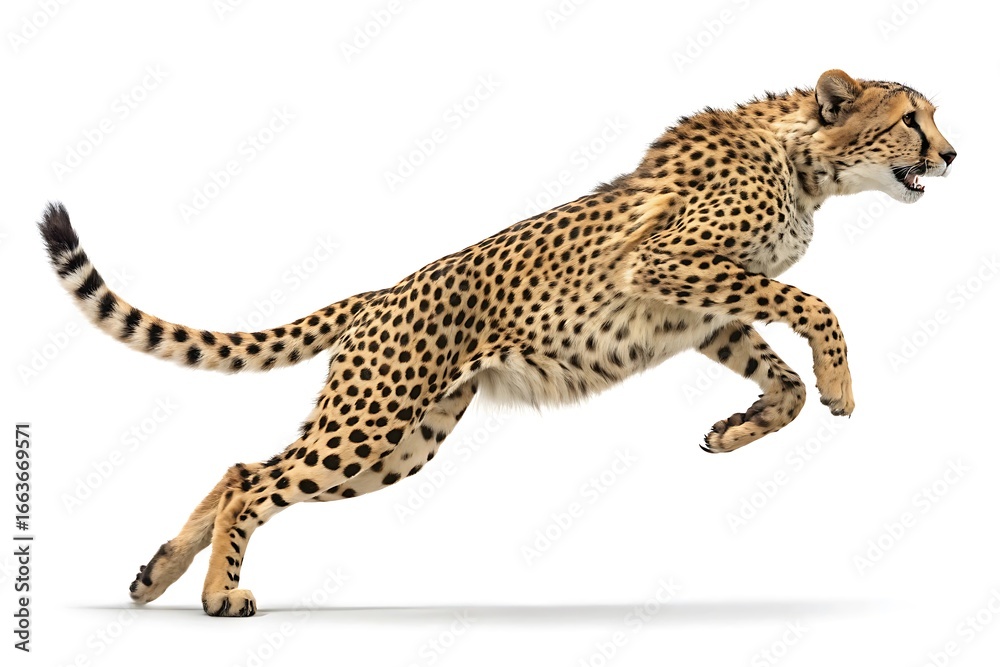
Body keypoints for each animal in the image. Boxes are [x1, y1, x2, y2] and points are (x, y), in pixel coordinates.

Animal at [39, 69, 955, 616]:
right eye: (911, 120)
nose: (952, 153)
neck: (806, 161)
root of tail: (383, 291)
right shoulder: (665, 264)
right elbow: (815, 304)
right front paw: (838, 383)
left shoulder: (699, 307)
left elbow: (778, 377)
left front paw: (738, 429)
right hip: (373, 422)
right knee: (255, 479)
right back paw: (218, 594)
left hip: (404, 439)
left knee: (237, 467)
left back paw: (157, 574)